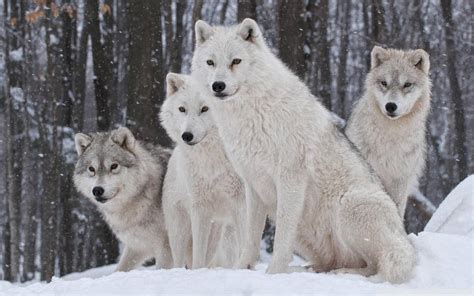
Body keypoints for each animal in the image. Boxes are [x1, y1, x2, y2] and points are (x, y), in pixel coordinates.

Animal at [72, 126, 172, 270]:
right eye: (91, 169)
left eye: (114, 166)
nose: (97, 190)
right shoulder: (138, 246)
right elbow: (120, 269)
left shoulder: (166, 246)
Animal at [161, 73, 246, 270]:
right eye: (182, 109)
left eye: (205, 108)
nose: (187, 136)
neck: (213, 158)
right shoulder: (200, 208)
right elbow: (198, 256)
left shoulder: (241, 203)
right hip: (180, 231)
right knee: (180, 261)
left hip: (222, 233)